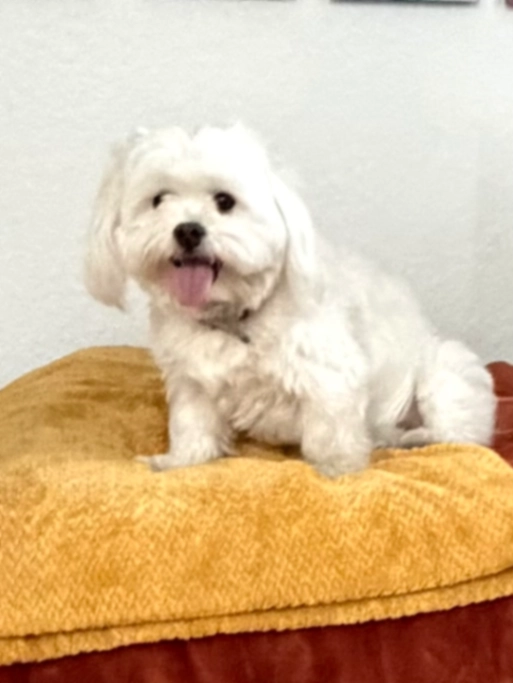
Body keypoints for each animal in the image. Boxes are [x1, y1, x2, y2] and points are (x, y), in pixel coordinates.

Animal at [85, 124, 496, 477]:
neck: (235, 316)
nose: (187, 230)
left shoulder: (331, 378)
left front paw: (336, 470)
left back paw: (412, 437)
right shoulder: (192, 381)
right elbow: (192, 426)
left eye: (224, 201)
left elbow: (329, 437)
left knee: (457, 433)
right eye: (158, 200)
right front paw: (180, 461)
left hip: (444, 376)